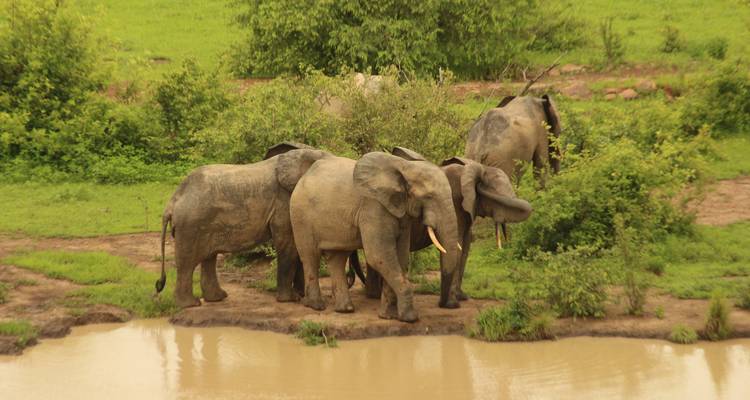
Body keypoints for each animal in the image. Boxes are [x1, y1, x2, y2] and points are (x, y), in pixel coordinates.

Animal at [154, 142, 332, 308]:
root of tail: (173, 200)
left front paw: (301, 296)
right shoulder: (283, 202)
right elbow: (288, 244)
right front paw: (291, 299)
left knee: (208, 258)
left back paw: (217, 298)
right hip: (191, 224)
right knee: (187, 263)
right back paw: (190, 304)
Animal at [289, 151, 461, 322]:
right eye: (429, 196)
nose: (445, 305)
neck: (405, 166)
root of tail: (304, 176)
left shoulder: (401, 211)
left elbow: (400, 256)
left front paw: (388, 316)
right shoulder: (373, 206)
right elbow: (379, 255)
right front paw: (410, 318)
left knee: (337, 258)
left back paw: (345, 309)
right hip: (300, 215)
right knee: (310, 256)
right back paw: (316, 306)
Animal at [362, 148, 533, 301]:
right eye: (496, 197)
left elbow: (465, 248)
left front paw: (462, 297)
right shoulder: (457, 204)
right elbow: (458, 246)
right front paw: (452, 303)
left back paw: (373, 295)